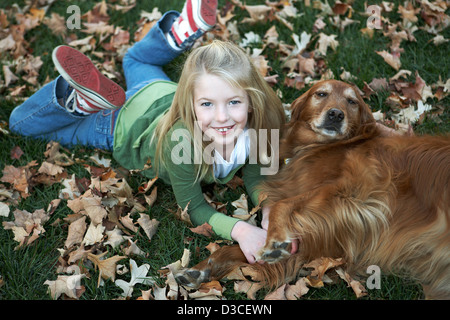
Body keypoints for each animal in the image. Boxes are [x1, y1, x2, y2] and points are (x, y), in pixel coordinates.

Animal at [176, 79, 450, 298]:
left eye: (352, 101)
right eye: (321, 94)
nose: (336, 114)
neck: (318, 147)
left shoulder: (350, 196)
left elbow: (282, 206)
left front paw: (275, 242)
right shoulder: (331, 231)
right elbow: (246, 248)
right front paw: (201, 270)